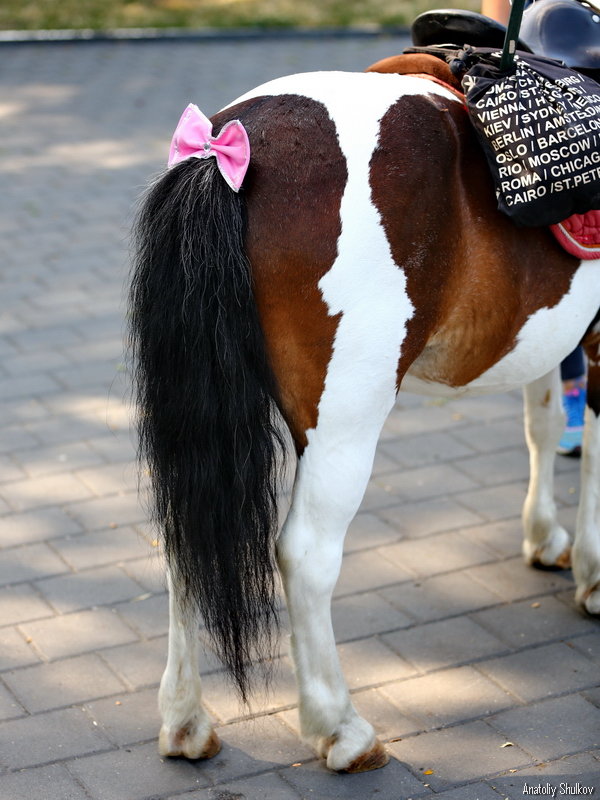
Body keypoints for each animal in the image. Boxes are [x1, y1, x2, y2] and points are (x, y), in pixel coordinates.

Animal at [127, 62, 600, 776]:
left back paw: (186, 722)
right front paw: (595, 576)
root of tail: (222, 151)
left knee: (189, 531)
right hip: (345, 422)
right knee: (306, 554)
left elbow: (544, 422)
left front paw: (545, 538)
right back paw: (340, 729)